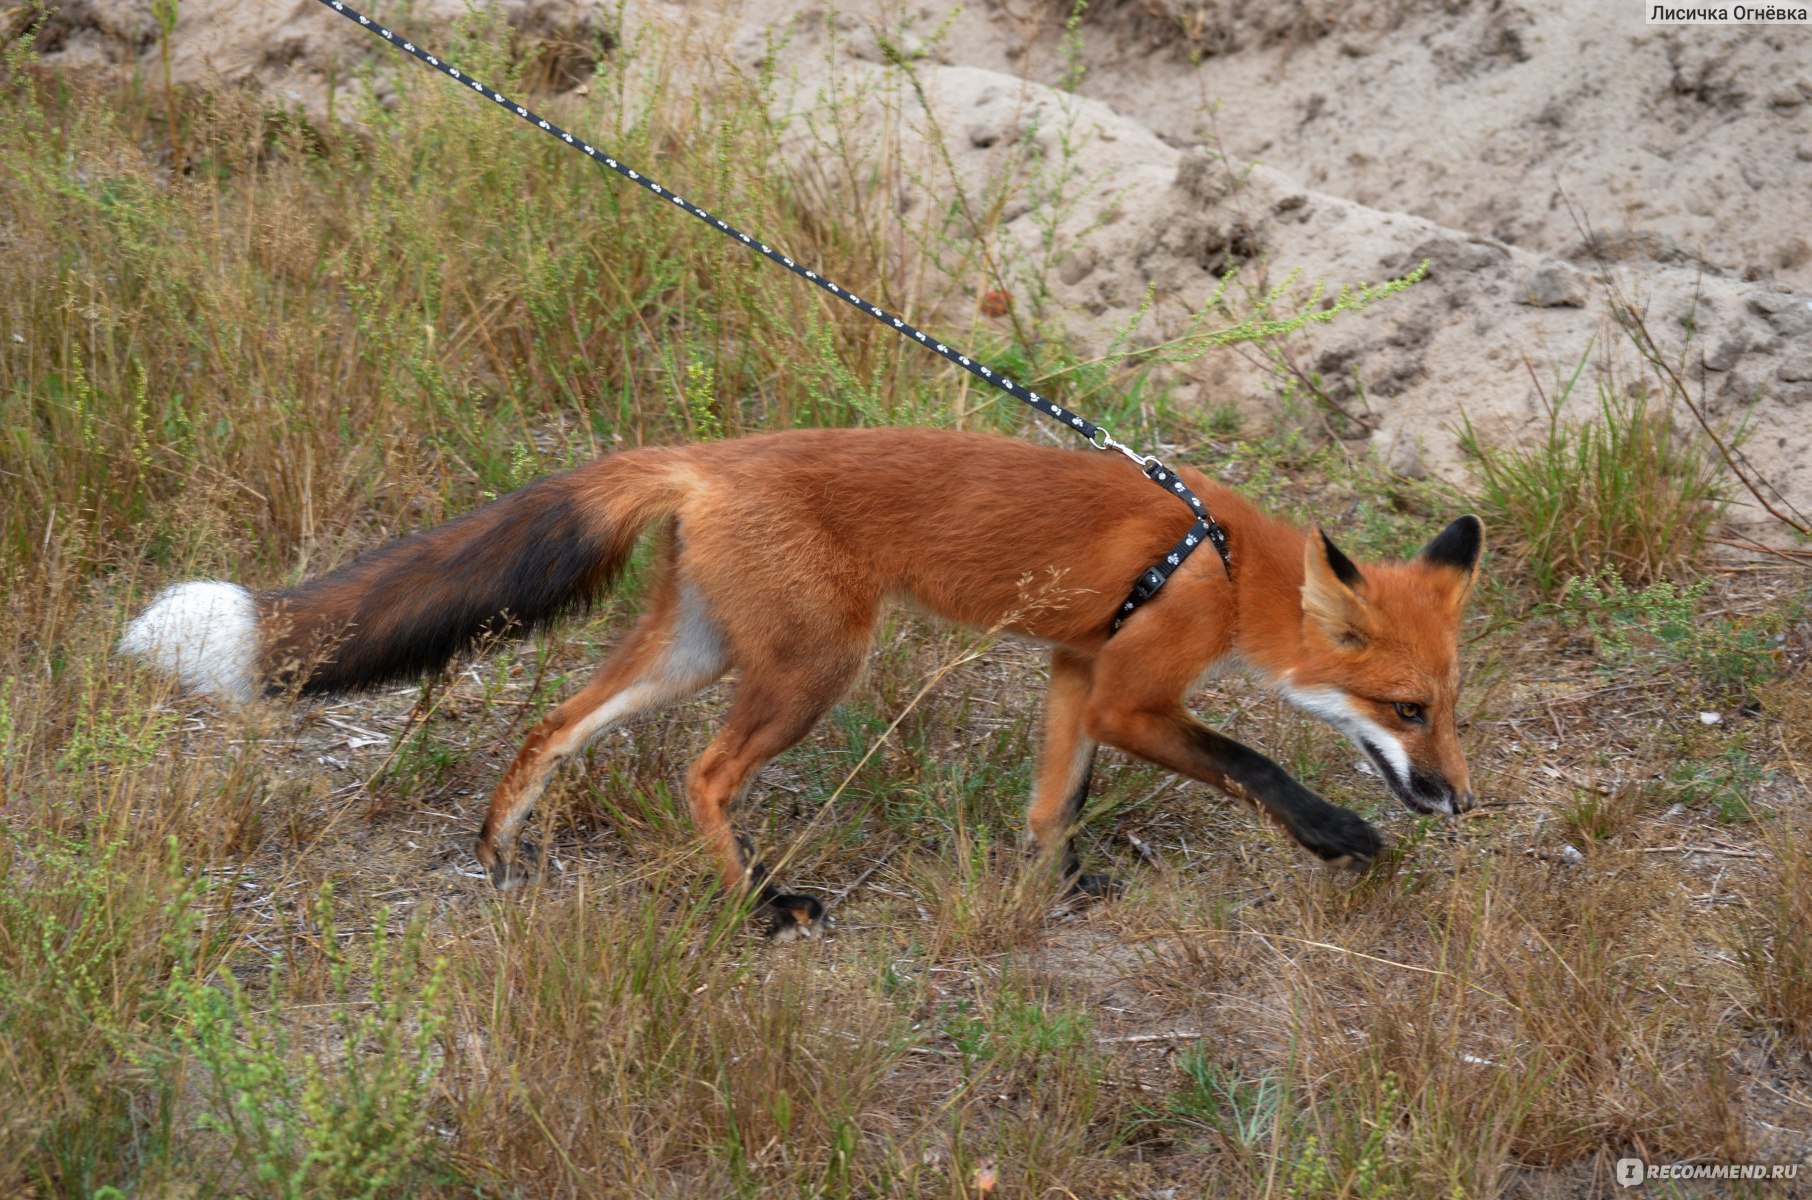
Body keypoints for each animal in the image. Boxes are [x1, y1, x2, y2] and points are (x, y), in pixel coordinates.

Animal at [131, 429, 1485, 942]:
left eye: (1449, 709)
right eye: (1407, 711)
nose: (1459, 801)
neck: (1223, 562)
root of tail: (701, 456)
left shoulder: (1076, 668)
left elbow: (1053, 798)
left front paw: (1050, 888)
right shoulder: (1129, 690)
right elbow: (1248, 762)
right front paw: (1336, 835)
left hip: (699, 654)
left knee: (553, 722)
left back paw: (501, 849)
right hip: (810, 672)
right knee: (702, 772)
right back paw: (757, 906)